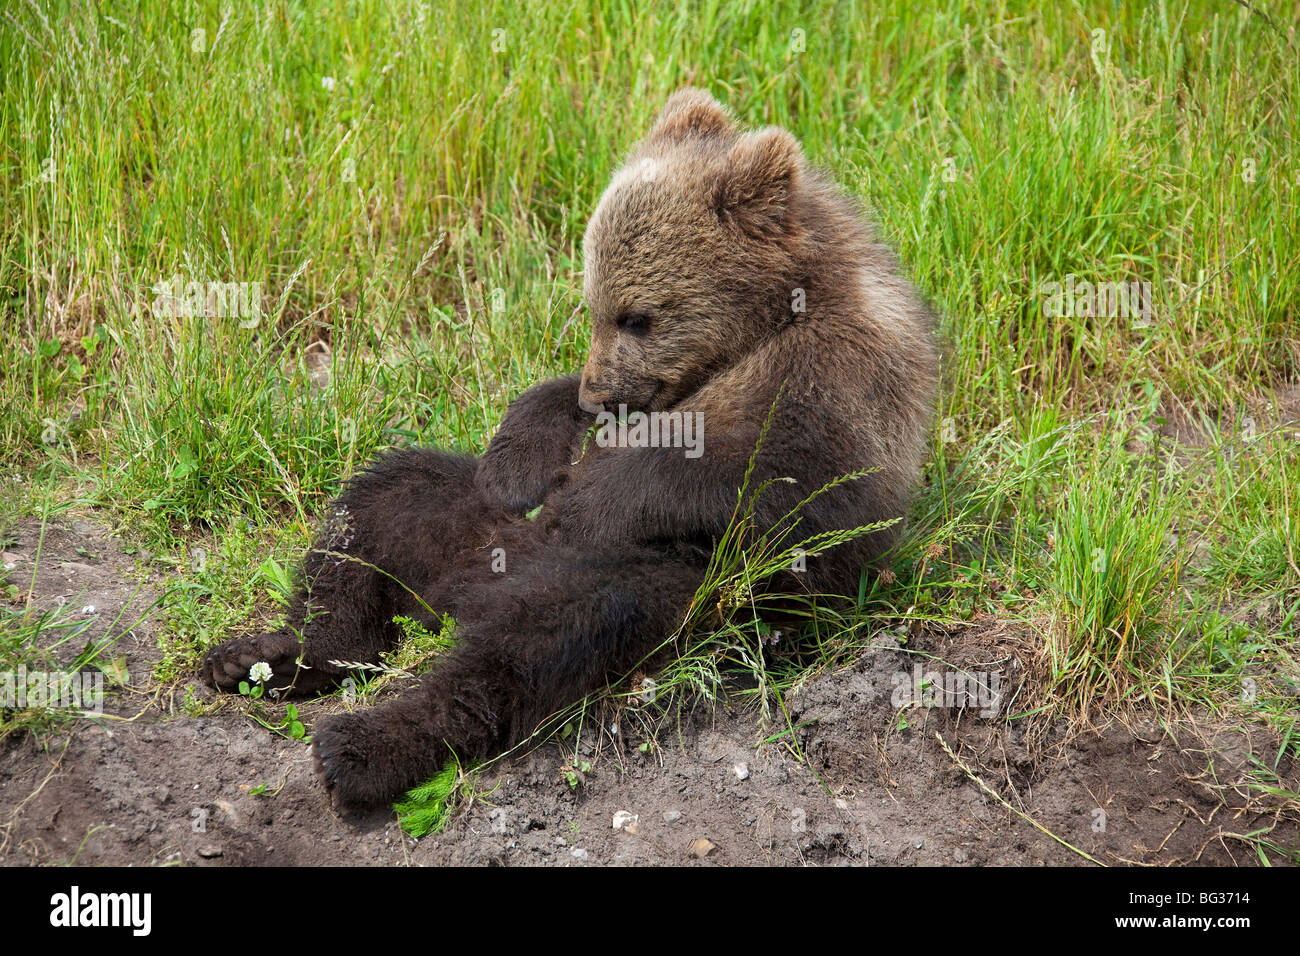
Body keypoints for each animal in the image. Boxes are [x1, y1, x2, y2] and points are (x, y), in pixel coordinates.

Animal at [200, 88, 939, 810]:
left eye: (638, 315)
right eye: (594, 305)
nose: (599, 388)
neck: (770, 321)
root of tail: (455, 596)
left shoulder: (836, 387)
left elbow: (776, 483)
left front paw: (592, 498)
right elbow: (547, 419)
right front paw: (522, 462)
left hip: (681, 588)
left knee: (540, 638)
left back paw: (358, 747)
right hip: (461, 527)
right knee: (380, 506)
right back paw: (266, 659)